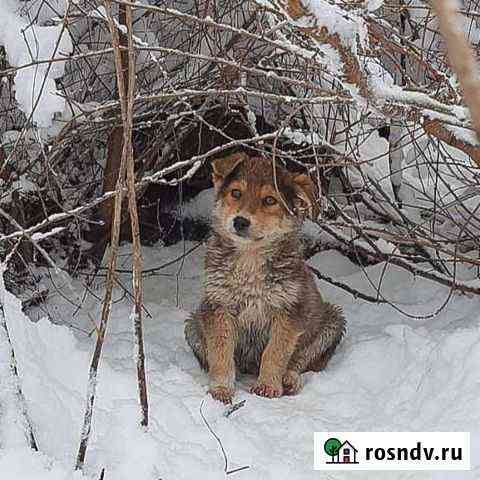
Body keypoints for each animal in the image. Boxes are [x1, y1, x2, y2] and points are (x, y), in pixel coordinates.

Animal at [184, 152, 344, 404]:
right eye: (236, 193)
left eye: (269, 200)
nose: (240, 221)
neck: (250, 258)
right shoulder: (219, 307)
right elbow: (220, 352)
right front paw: (220, 389)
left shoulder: (288, 312)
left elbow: (275, 352)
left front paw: (268, 386)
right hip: (193, 325)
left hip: (332, 322)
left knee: (300, 361)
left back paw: (289, 380)